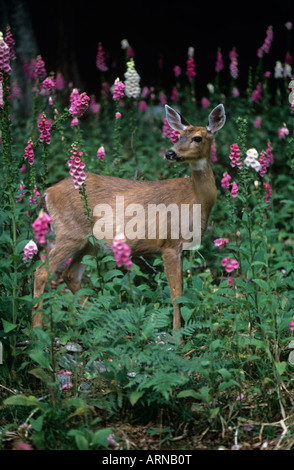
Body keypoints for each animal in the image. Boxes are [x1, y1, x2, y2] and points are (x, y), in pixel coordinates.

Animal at [32, 103, 225, 330]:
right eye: (178, 136)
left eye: (197, 137)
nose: (170, 152)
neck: (195, 198)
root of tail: (47, 192)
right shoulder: (169, 243)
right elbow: (176, 294)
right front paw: (177, 334)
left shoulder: (181, 247)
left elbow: (181, 290)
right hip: (70, 232)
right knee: (42, 272)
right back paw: (37, 331)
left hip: (89, 242)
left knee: (70, 274)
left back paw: (100, 318)